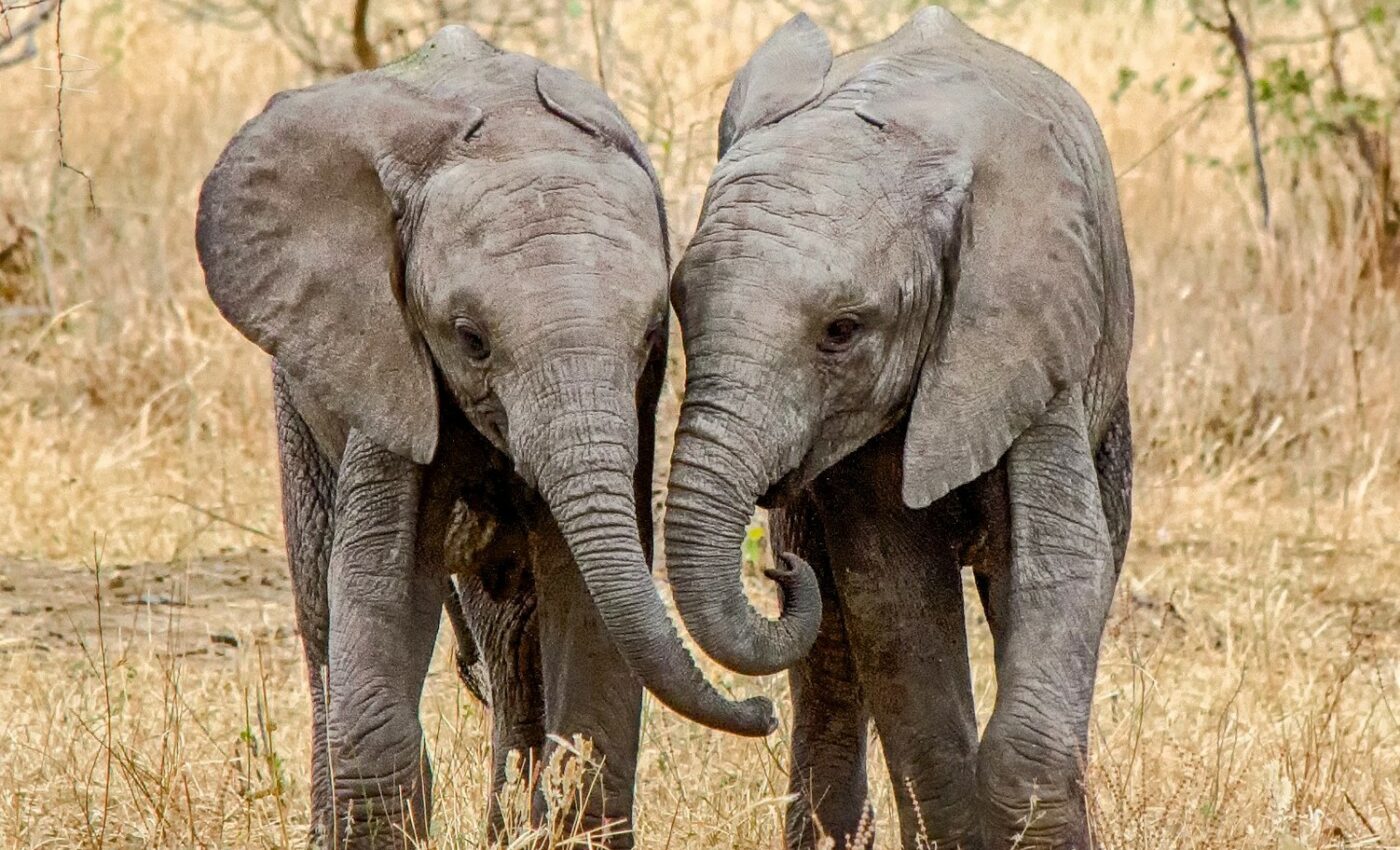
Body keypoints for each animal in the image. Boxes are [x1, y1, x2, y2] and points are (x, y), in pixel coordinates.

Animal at [195, 25, 778, 849]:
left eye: (649, 336)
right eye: (470, 340)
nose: (766, 711)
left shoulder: (635, 404)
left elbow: (586, 597)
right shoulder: (386, 350)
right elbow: (380, 577)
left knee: (511, 639)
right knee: (321, 613)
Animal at [663, 9, 1133, 850]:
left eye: (842, 331)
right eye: (680, 303)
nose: (779, 575)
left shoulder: (1032, 332)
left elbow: (1063, 565)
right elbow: (893, 598)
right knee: (830, 669)